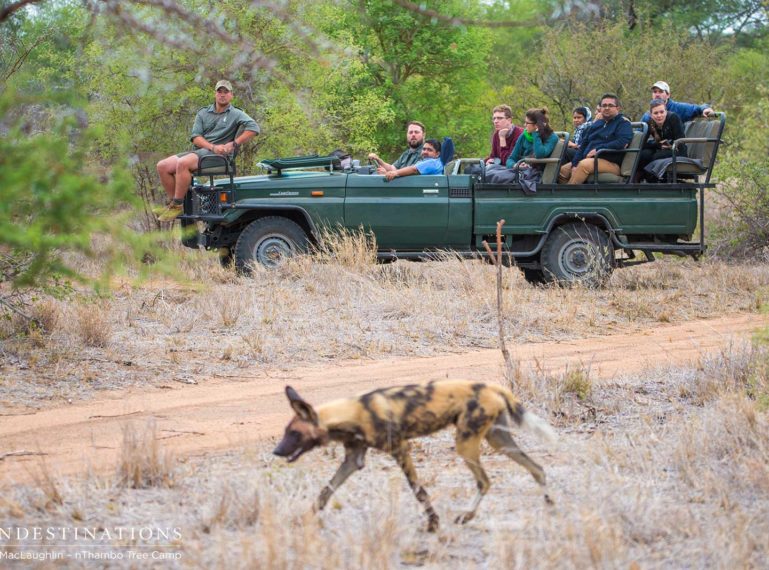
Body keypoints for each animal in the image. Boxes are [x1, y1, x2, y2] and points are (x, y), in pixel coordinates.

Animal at [272, 380, 556, 532]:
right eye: (286, 432)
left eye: (294, 433)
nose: (276, 451)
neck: (352, 414)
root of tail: (491, 386)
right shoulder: (353, 460)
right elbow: (325, 492)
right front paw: (303, 520)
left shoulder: (400, 450)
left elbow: (419, 491)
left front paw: (433, 524)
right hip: (498, 442)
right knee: (537, 468)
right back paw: (550, 505)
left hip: (466, 445)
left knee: (485, 481)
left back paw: (466, 516)